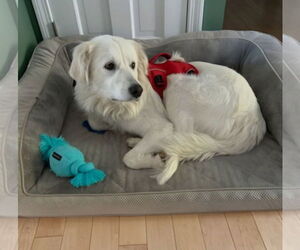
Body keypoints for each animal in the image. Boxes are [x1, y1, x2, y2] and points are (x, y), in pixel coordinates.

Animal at [69, 35, 266, 185]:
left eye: (133, 65)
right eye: (109, 66)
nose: (138, 90)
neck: (113, 105)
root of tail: (255, 120)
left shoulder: (162, 126)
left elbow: (129, 158)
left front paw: (153, 160)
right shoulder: (98, 115)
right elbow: (95, 123)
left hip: (177, 87)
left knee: (182, 138)